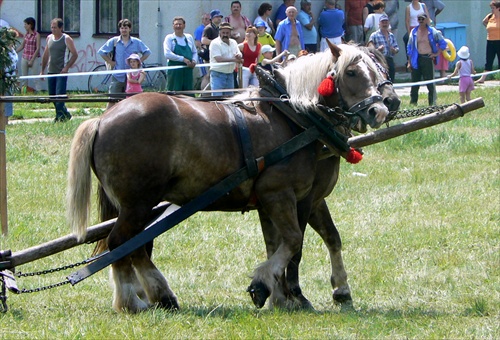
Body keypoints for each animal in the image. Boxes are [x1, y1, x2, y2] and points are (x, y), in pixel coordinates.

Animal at [67, 42, 394, 314]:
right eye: (351, 72)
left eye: (381, 69)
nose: (380, 109)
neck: (292, 116)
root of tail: (103, 119)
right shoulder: (281, 194)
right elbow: (293, 242)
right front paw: (270, 287)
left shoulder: (287, 200)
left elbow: (299, 242)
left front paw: (288, 295)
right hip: (137, 203)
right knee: (121, 243)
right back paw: (134, 300)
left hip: (140, 206)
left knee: (134, 247)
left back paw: (156, 295)